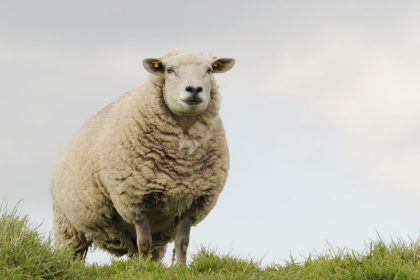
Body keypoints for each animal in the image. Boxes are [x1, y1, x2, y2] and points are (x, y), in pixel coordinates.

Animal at [50, 49, 235, 264]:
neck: (181, 162)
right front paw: (144, 268)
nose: (194, 89)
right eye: (169, 70)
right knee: (73, 254)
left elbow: (182, 242)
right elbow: (144, 242)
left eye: (209, 70)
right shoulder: (134, 200)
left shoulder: (191, 201)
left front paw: (180, 267)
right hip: (68, 226)